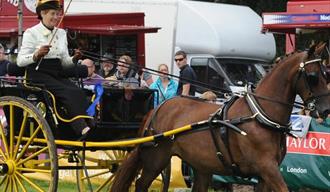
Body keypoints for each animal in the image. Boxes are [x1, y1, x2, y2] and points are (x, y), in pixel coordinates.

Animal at [110, 44, 330, 190]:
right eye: (313, 76)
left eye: (326, 73)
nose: (326, 110)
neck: (260, 115)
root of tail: (158, 107)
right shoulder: (267, 168)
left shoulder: (263, 175)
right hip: (156, 159)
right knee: (141, 184)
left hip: (201, 167)